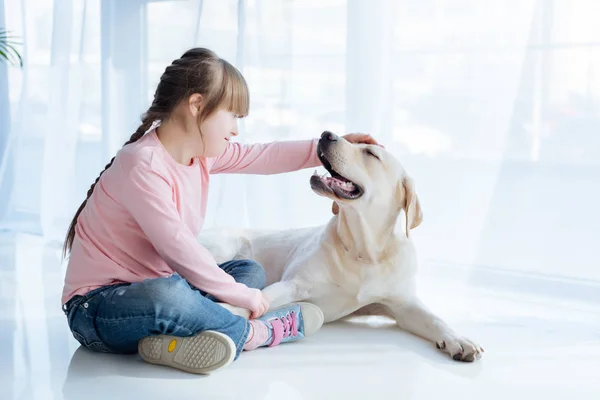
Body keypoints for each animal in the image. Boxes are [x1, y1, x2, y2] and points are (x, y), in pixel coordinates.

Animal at [199, 131, 486, 362]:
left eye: (370, 153)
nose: (327, 134)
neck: (363, 251)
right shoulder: (293, 284)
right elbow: (258, 298)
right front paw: (226, 309)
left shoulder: (402, 304)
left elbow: (434, 317)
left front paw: (459, 339)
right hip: (221, 247)